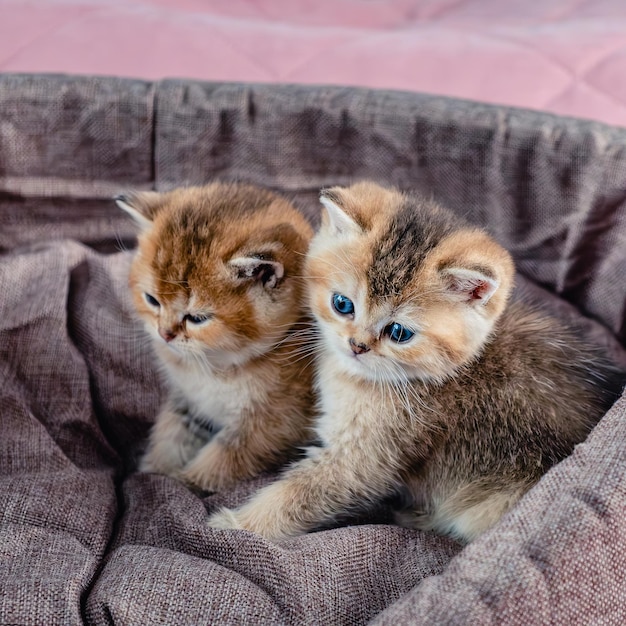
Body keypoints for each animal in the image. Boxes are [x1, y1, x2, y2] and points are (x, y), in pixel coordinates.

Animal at [115, 183, 314, 490]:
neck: (218, 367)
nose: (165, 333)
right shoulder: (189, 399)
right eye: (152, 300)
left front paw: (182, 481)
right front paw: (154, 470)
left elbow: (219, 464)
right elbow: (170, 434)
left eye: (197, 318)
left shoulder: (272, 426)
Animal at [207, 180, 620, 540]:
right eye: (342, 304)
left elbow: (301, 493)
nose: (357, 346)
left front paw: (235, 525)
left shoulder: (364, 457)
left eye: (399, 333)